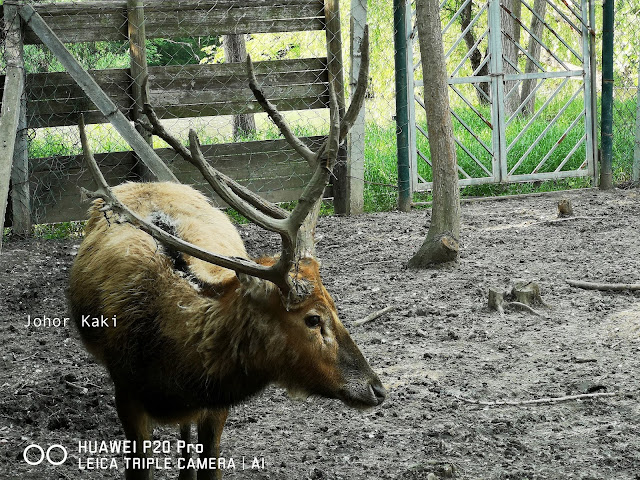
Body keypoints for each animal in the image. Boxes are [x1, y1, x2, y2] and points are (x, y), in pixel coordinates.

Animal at [67, 28, 384, 478]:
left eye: (337, 307)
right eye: (312, 318)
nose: (376, 388)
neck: (175, 369)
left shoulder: (215, 408)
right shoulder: (125, 392)